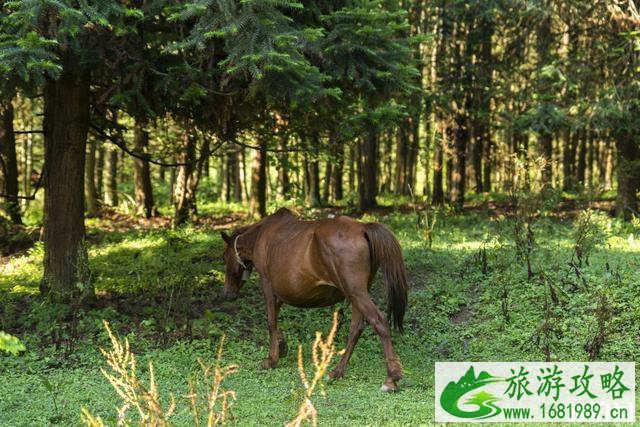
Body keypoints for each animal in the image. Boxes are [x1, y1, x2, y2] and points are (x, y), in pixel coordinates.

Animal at [220, 209, 410, 392]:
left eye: (225, 257)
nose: (227, 294)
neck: (262, 234)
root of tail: (362, 228)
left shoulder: (267, 284)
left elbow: (271, 321)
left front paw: (271, 359)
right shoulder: (279, 292)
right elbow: (275, 316)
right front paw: (281, 345)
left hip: (356, 293)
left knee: (379, 322)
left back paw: (391, 378)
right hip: (357, 294)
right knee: (356, 328)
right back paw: (337, 372)